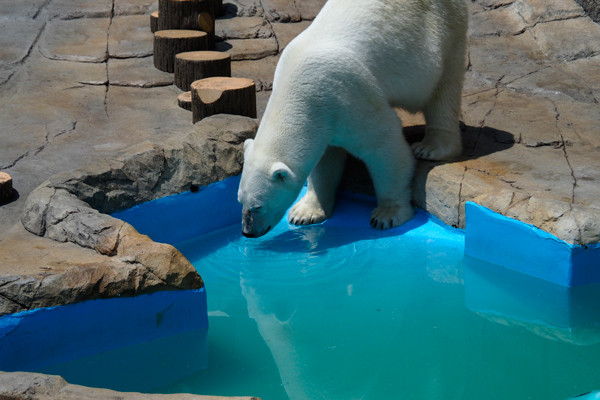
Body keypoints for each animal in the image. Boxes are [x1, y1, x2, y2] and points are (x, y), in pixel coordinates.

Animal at [238, 0, 468, 238]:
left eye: (258, 206)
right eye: (240, 201)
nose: (248, 232)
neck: (296, 89)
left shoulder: (346, 93)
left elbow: (384, 147)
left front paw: (387, 215)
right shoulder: (324, 116)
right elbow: (325, 161)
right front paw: (305, 213)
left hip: (444, 28)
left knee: (443, 87)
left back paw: (432, 148)